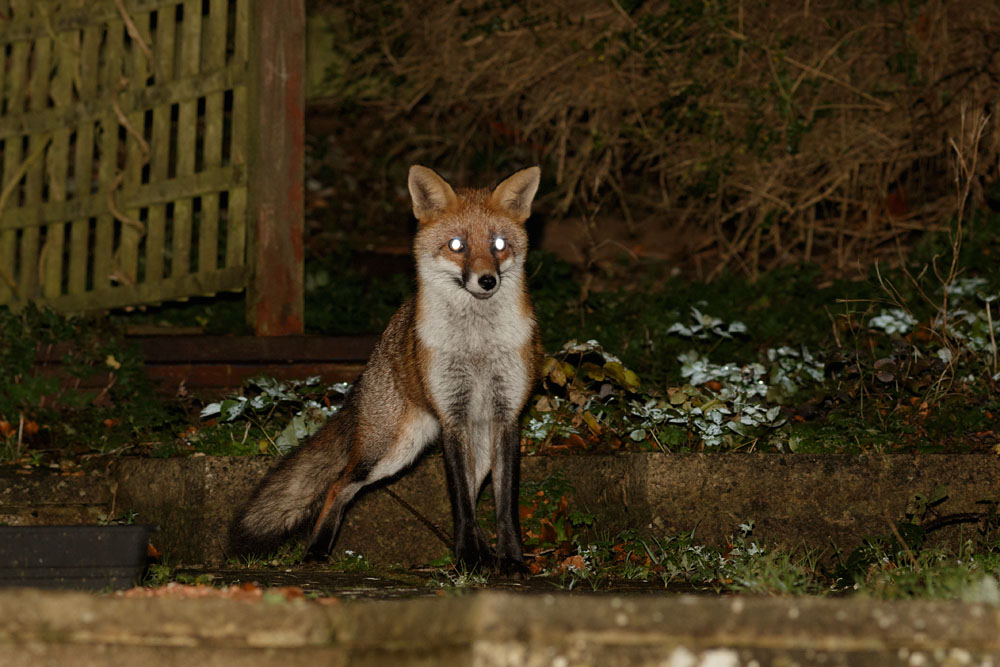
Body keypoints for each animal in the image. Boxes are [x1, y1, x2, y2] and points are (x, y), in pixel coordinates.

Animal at [228, 165, 543, 576]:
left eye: (500, 244)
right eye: (457, 245)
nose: (487, 280)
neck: (476, 347)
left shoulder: (507, 418)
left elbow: (502, 506)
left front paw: (511, 561)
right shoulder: (452, 418)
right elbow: (461, 505)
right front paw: (468, 561)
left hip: (474, 446)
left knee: (475, 493)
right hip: (391, 449)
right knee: (339, 484)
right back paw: (316, 551)